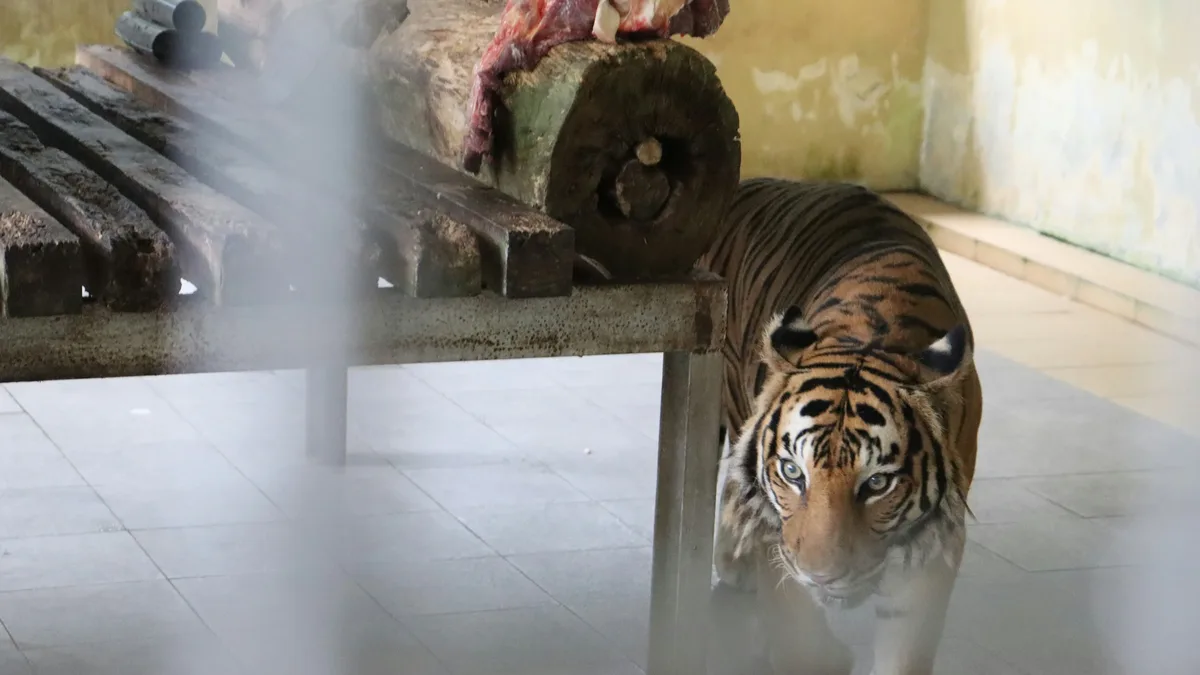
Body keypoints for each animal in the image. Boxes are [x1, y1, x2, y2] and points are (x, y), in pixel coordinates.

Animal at [697, 178, 983, 675]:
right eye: (793, 472)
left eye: (878, 483)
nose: (820, 575)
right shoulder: (779, 534)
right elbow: (800, 639)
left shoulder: (935, 540)